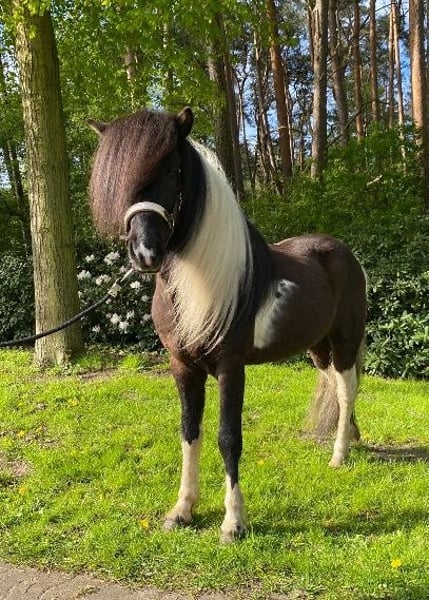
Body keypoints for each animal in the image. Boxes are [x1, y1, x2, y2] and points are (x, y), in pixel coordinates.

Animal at [88, 106, 367, 543]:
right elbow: (190, 433)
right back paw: (350, 438)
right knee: (338, 390)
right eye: (118, 180)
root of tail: (344, 253)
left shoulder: (230, 368)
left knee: (347, 389)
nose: (145, 253)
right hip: (317, 348)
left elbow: (228, 437)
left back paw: (339, 455)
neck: (197, 286)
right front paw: (182, 511)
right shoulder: (183, 367)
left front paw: (233, 523)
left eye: (173, 170)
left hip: (344, 342)